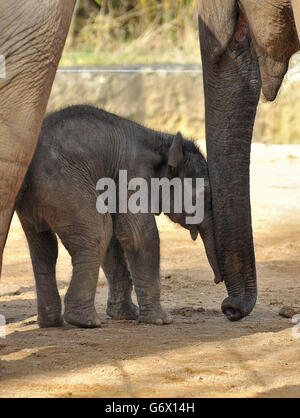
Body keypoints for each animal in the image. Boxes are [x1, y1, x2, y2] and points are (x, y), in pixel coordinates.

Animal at [15, 105, 220, 330]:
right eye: (204, 194)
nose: (217, 280)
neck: (162, 141)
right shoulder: (133, 174)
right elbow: (137, 235)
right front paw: (161, 320)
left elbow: (115, 240)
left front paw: (127, 315)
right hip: (63, 184)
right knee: (97, 230)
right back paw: (85, 321)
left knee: (44, 249)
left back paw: (52, 323)